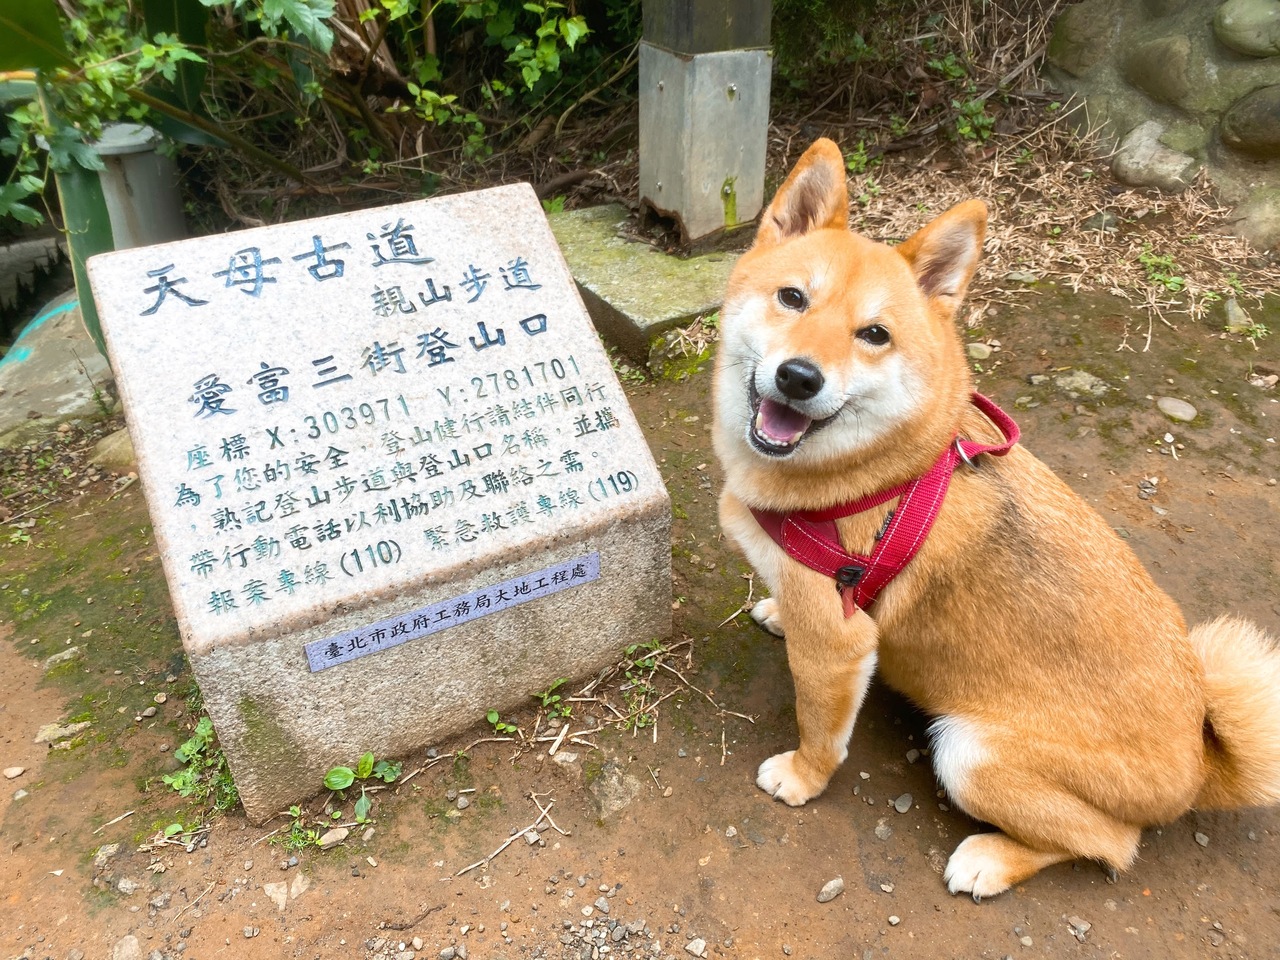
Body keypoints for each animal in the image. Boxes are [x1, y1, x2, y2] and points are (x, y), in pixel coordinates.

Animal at [711, 136, 1280, 901]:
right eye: (793, 298)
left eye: (874, 335)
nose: (800, 377)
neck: (879, 473)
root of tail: (1198, 756)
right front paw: (774, 610)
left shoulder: (837, 647)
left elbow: (821, 731)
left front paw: (802, 779)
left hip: (969, 753)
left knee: (1112, 843)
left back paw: (989, 859)